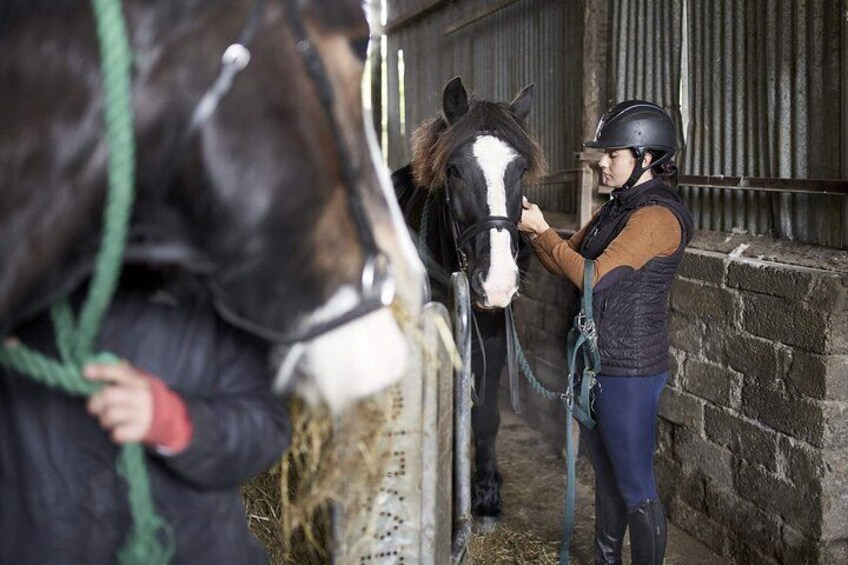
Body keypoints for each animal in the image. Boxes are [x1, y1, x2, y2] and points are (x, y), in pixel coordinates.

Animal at [390, 76, 544, 528]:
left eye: (520, 169)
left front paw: (486, 492)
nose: (497, 283)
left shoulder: (489, 340)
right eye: (454, 170)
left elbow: (486, 416)